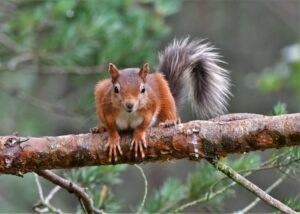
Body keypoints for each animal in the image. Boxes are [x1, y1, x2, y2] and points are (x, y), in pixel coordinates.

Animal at [91, 38, 232, 162]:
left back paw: (171, 121)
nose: (130, 105)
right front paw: (113, 139)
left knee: (167, 111)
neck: (128, 114)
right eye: (115, 89)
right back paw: (100, 128)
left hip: (165, 94)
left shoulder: (149, 108)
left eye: (143, 89)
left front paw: (138, 136)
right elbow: (111, 126)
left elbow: (144, 124)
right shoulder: (107, 110)